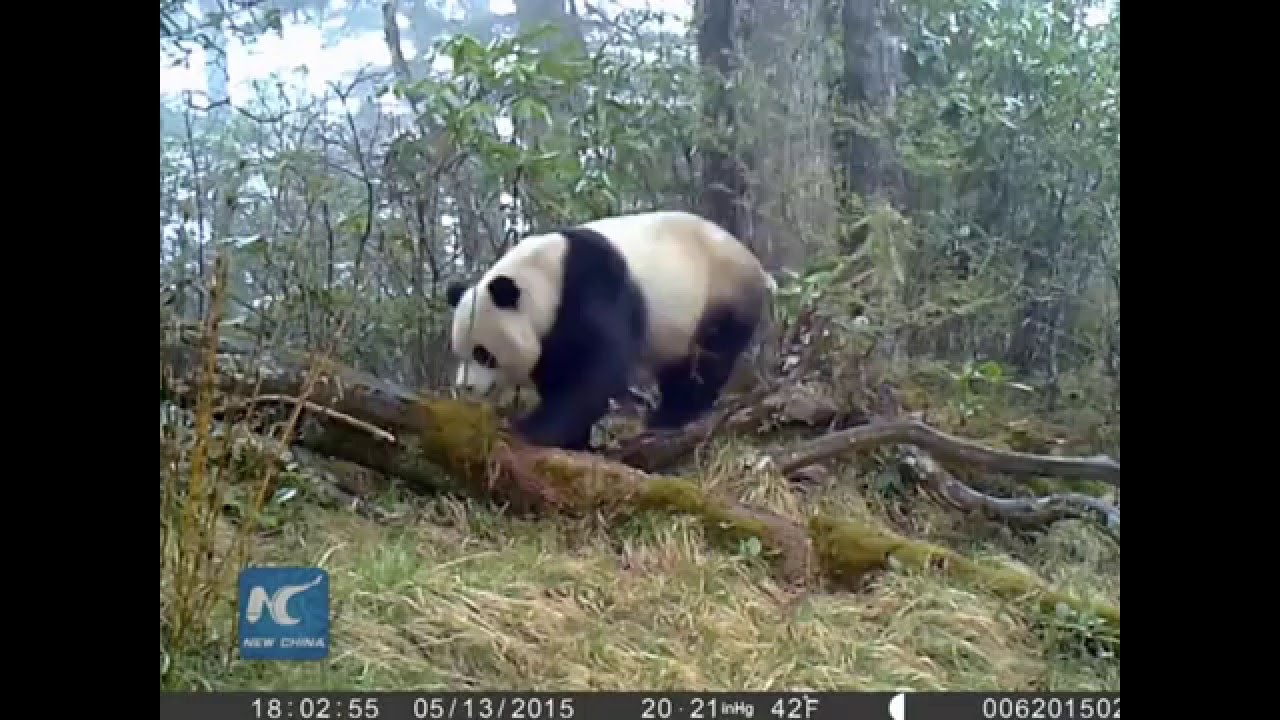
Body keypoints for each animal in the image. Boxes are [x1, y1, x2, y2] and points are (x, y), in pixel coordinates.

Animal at [445, 210, 776, 452]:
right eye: (459, 352)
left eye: (483, 354)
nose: (465, 387)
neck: (543, 275)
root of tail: (756, 265)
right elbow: (558, 370)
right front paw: (574, 440)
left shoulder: (593, 285)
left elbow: (596, 369)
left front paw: (531, 429)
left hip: (720, 293)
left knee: (708, 359)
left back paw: (671, 416)